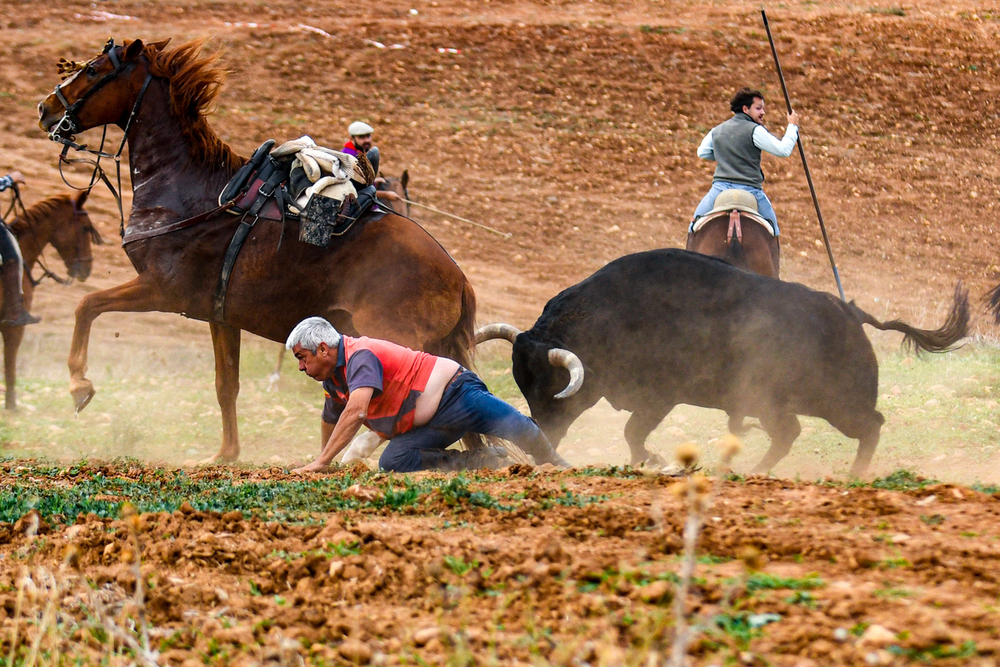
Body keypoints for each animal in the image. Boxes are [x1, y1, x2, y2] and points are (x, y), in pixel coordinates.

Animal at [38, 37, 476, 464]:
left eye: (93, 70)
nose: (46, 108)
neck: (191, 190)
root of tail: (458, 277)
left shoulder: (161, 290)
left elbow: (87, 306)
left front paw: (79, 384)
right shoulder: (219, 315)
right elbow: (225, 384)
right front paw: (225, 455)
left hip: (394, 338)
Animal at [478, 249, 968, 474]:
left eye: (551, 388)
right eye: (523, 384)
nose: (540, 438)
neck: (606, 317)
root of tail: (849, 312)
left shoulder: (659, 398)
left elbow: (633, 432)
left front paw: (654, 458)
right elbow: (633, 435)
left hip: (836, 404)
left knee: (869, 426)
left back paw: (851, 474)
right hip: (782, 405)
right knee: (791, 434)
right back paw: (753, 470)